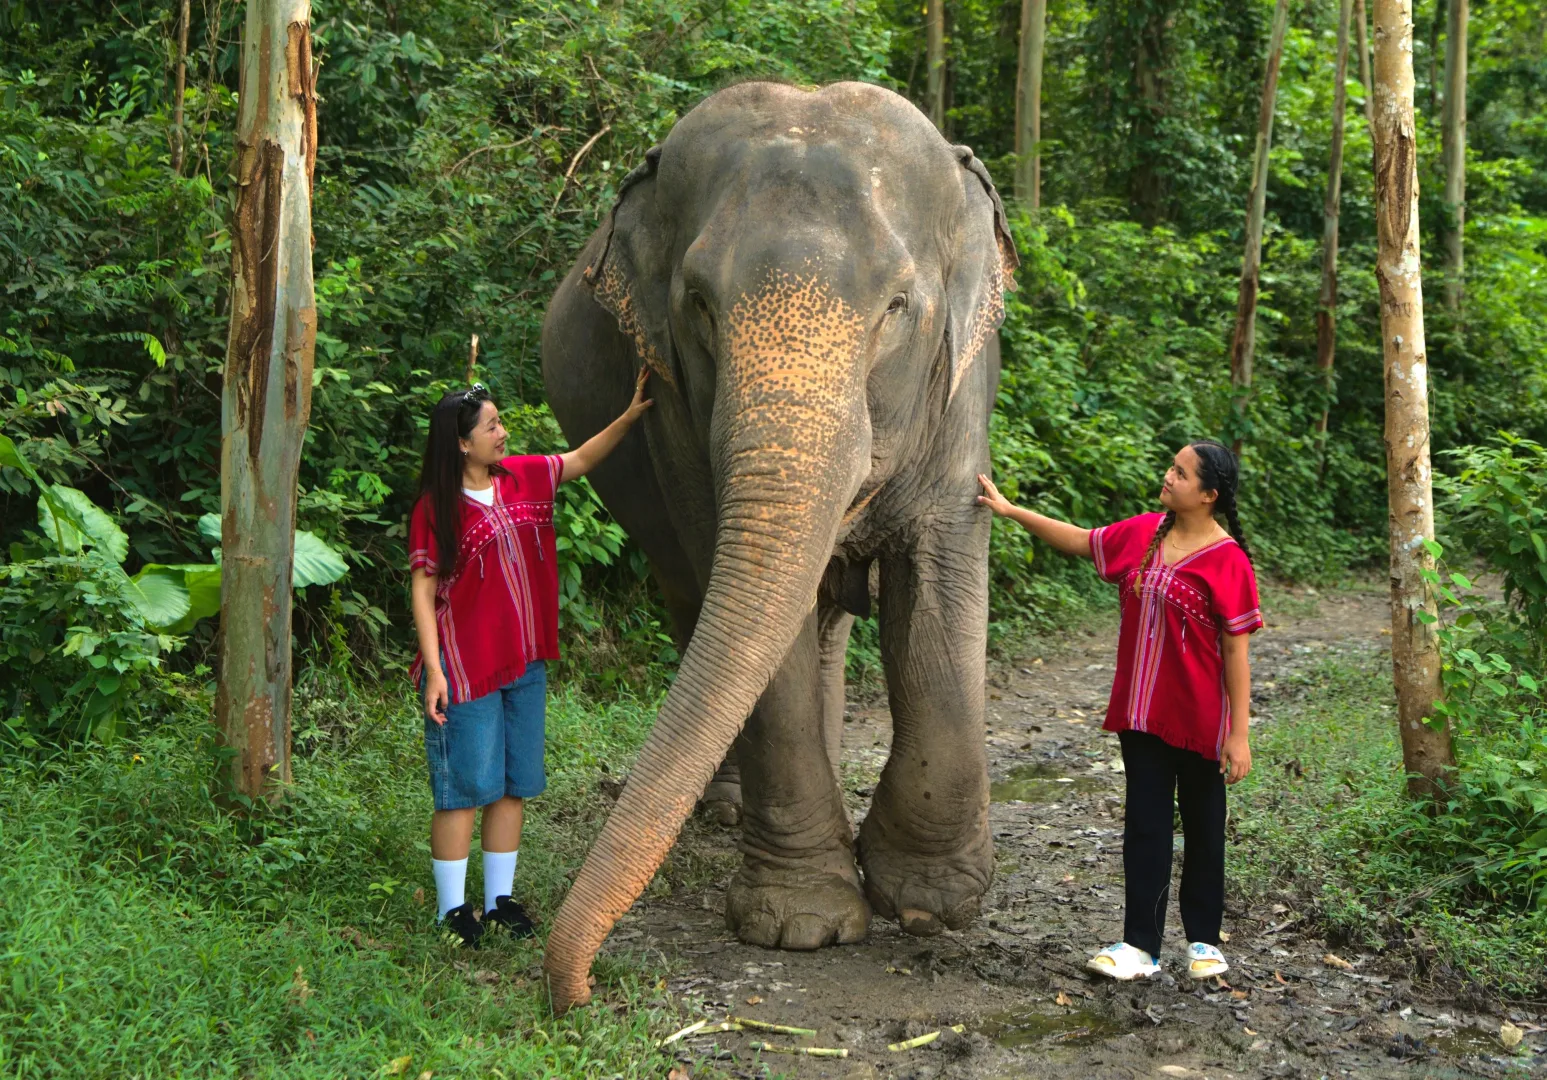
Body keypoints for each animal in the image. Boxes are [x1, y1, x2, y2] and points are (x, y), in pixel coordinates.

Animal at [539, 80, 1018, 1012]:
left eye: (897, 309)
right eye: (697, 304)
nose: (576, 990)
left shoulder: (959, 389)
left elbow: (938, 581)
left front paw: (930, 903)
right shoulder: (674, 414)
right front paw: (801, 925)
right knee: (699, 603)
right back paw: (729, 810)